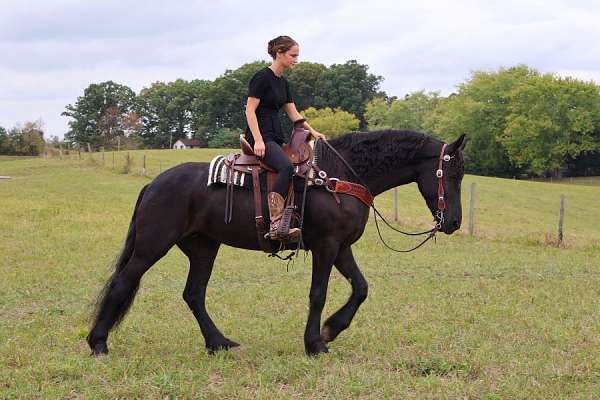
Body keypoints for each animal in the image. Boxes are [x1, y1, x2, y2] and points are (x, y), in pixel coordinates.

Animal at [88, 130, 464, 354]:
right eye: (453, 173)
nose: (455, 223)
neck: (337, 178)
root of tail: (153, 184)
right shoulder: (326, 246)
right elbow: (318, 294)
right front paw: (315, 343)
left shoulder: (342, 248)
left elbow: (361, 288)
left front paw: (331, 330)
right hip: (153, 244)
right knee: (124, 282)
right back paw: (98, 343)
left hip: (203, 247)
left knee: (193, 294)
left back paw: (219, 343)